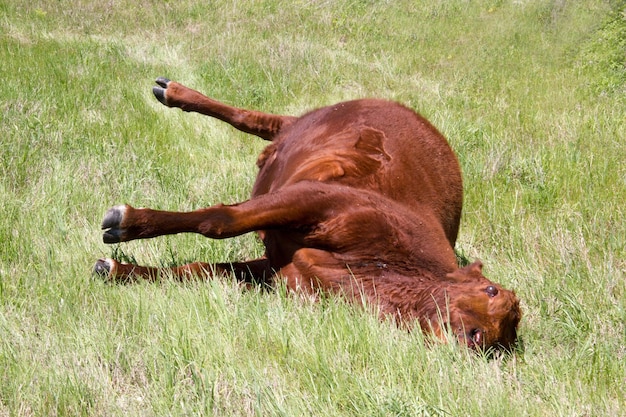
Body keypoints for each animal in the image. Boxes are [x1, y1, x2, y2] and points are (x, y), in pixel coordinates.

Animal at [92, 76, 520, 350]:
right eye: (491, 290)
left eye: (499, 341)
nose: (474, 337)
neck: (375, 267)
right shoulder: (313, 197)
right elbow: (220, 222)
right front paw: (125, 221)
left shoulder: (273, 269)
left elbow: (199, 271)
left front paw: (117, 269)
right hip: (306, 125)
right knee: (257, 118)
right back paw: (173, 91)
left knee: (262, 123)